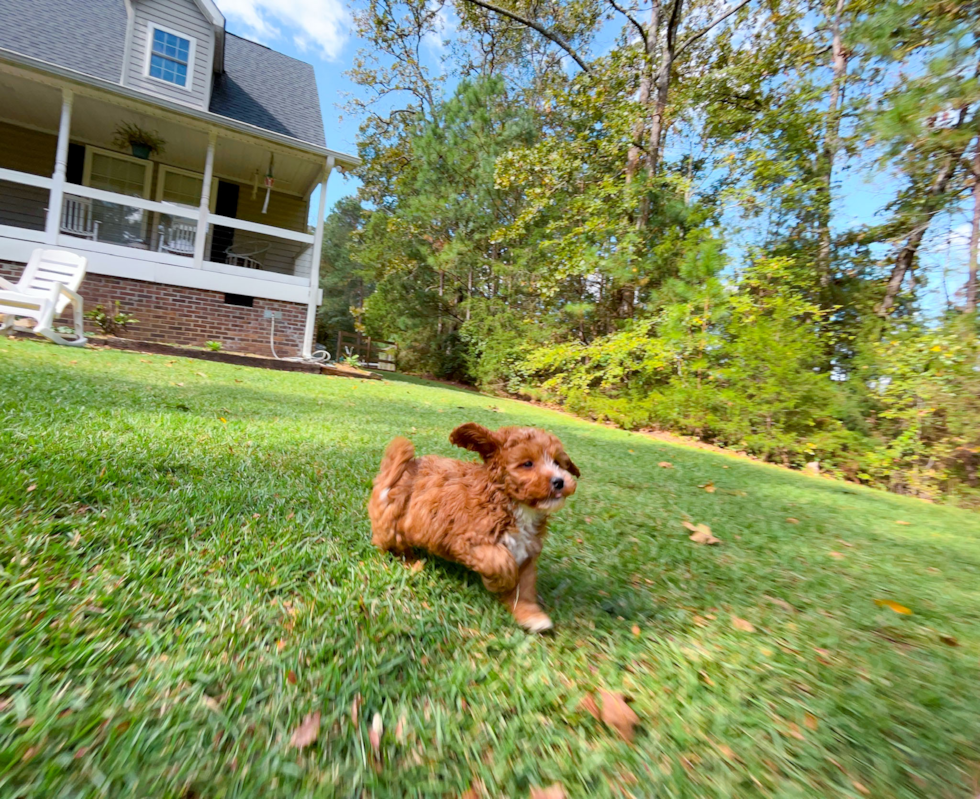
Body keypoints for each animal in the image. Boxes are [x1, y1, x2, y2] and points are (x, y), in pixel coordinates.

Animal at [372, 422, 580, 636]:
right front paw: (503, 582)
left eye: (558, 463)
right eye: (527, 464)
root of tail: (401, 469)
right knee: (390, 544)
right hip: (391, 523)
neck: (514, 504)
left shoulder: (527, 552)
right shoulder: (468, 539)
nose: (559, 481)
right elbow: (501, 561)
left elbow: (524, 587)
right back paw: (409, 562)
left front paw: (531, 615)